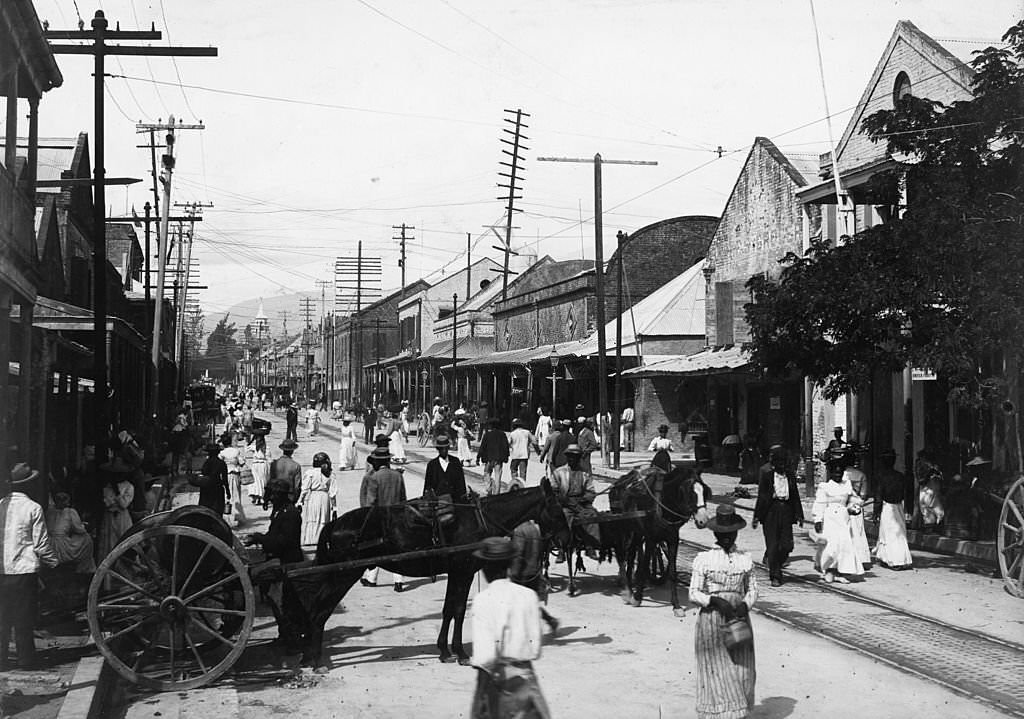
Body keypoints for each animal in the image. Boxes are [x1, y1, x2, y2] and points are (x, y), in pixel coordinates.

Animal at [290, 481, 569, 671]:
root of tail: (334, 524)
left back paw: (308, 656)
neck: (479, 519)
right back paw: (315, 660)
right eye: (557, 509)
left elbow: (448, 610)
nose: (564, 540)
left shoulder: (457, 572)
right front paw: (460, 653)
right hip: (343, 575)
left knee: (317, 609)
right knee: (320, 610)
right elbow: (458, 610)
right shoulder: (463, 572)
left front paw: (444, 650)